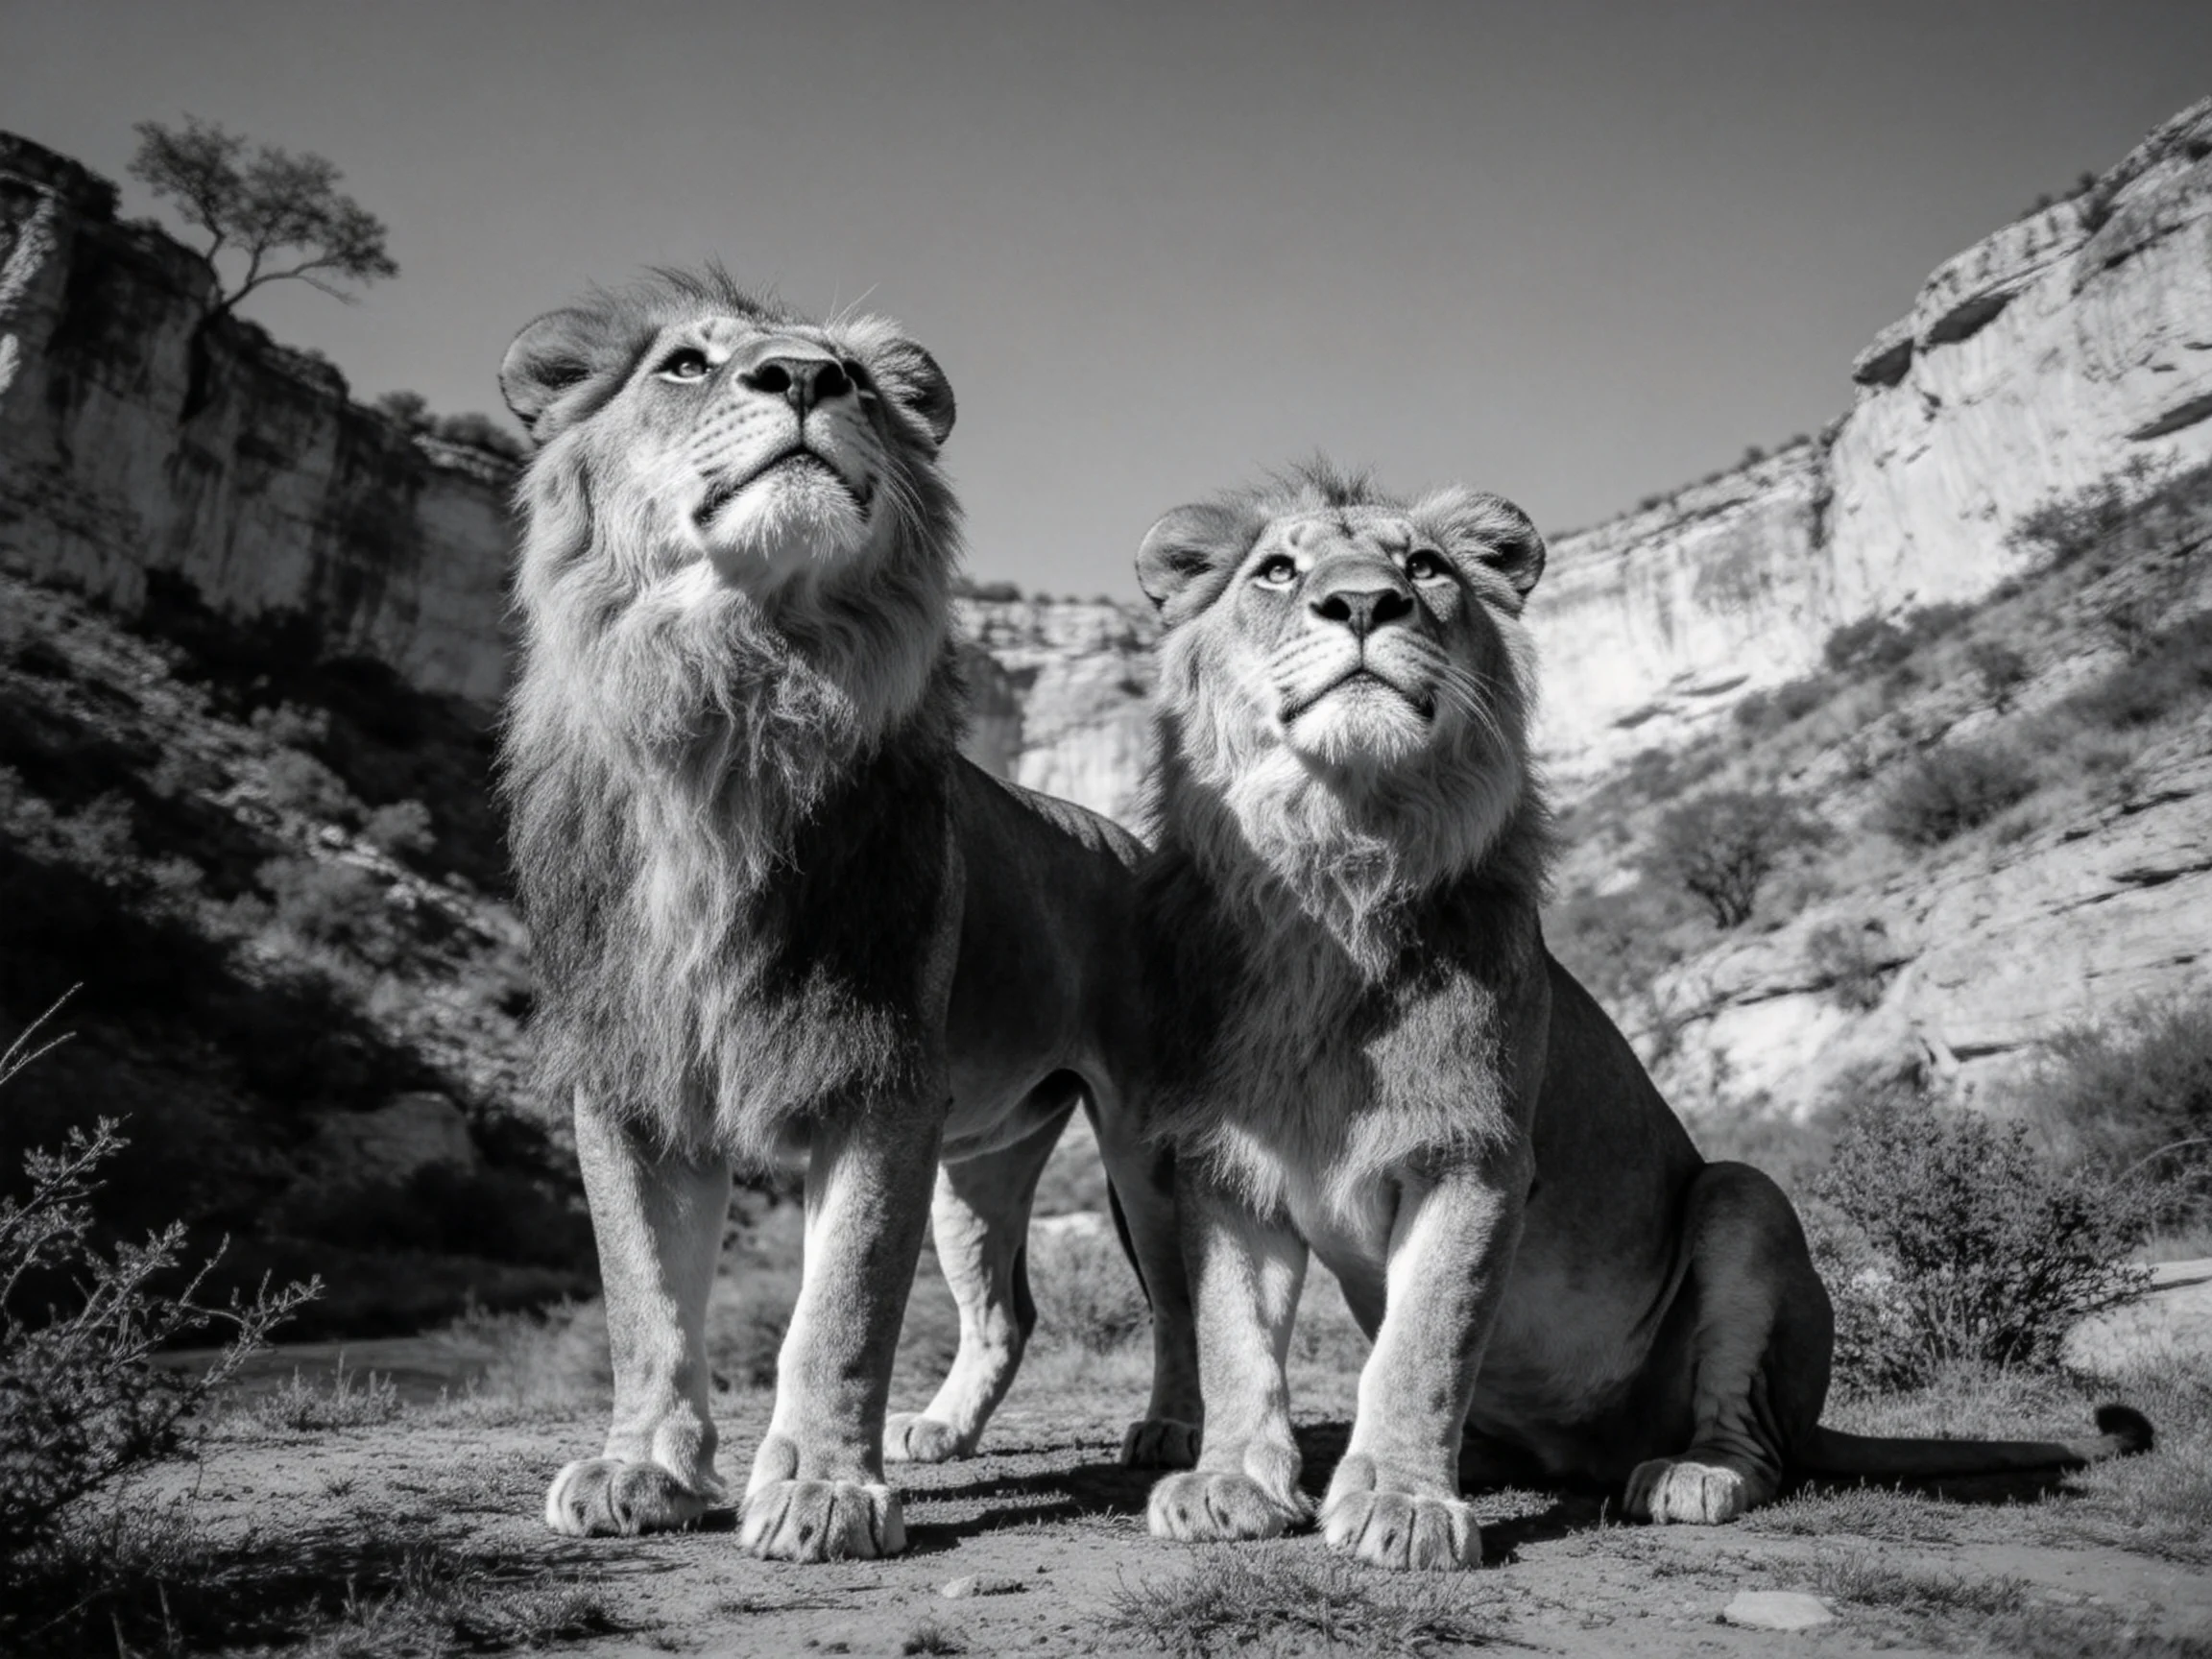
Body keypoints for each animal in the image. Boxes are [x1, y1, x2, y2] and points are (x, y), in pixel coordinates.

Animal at [495, 269, 1199, 1564]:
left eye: (861, 379)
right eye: (684, 364)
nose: (806, 379)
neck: (733, 699)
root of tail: (1133, 846)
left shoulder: (878, 1081)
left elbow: (841, 1311)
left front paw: (824, 1491)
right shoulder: (630, 1078)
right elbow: (645, 1306)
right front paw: (643, 1471)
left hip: (1145, 1147)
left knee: (1183, 1296)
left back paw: (1173, 1431)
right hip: (981, 1163)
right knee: (1008, 1309)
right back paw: (943, 1431)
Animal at [1131, 462, 2150, 1571]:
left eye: (1425, 567)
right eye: (1278, 570)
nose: (1364, 603)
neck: (1335, 868)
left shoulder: (1475, 1156)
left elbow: (1423, 1346)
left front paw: (1403, 1503)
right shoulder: (1230, 1167)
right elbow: (1234, 1341)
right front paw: (1231, 1483)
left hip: (1745, 1201)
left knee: (1756, 1442)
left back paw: (1685, 1476)